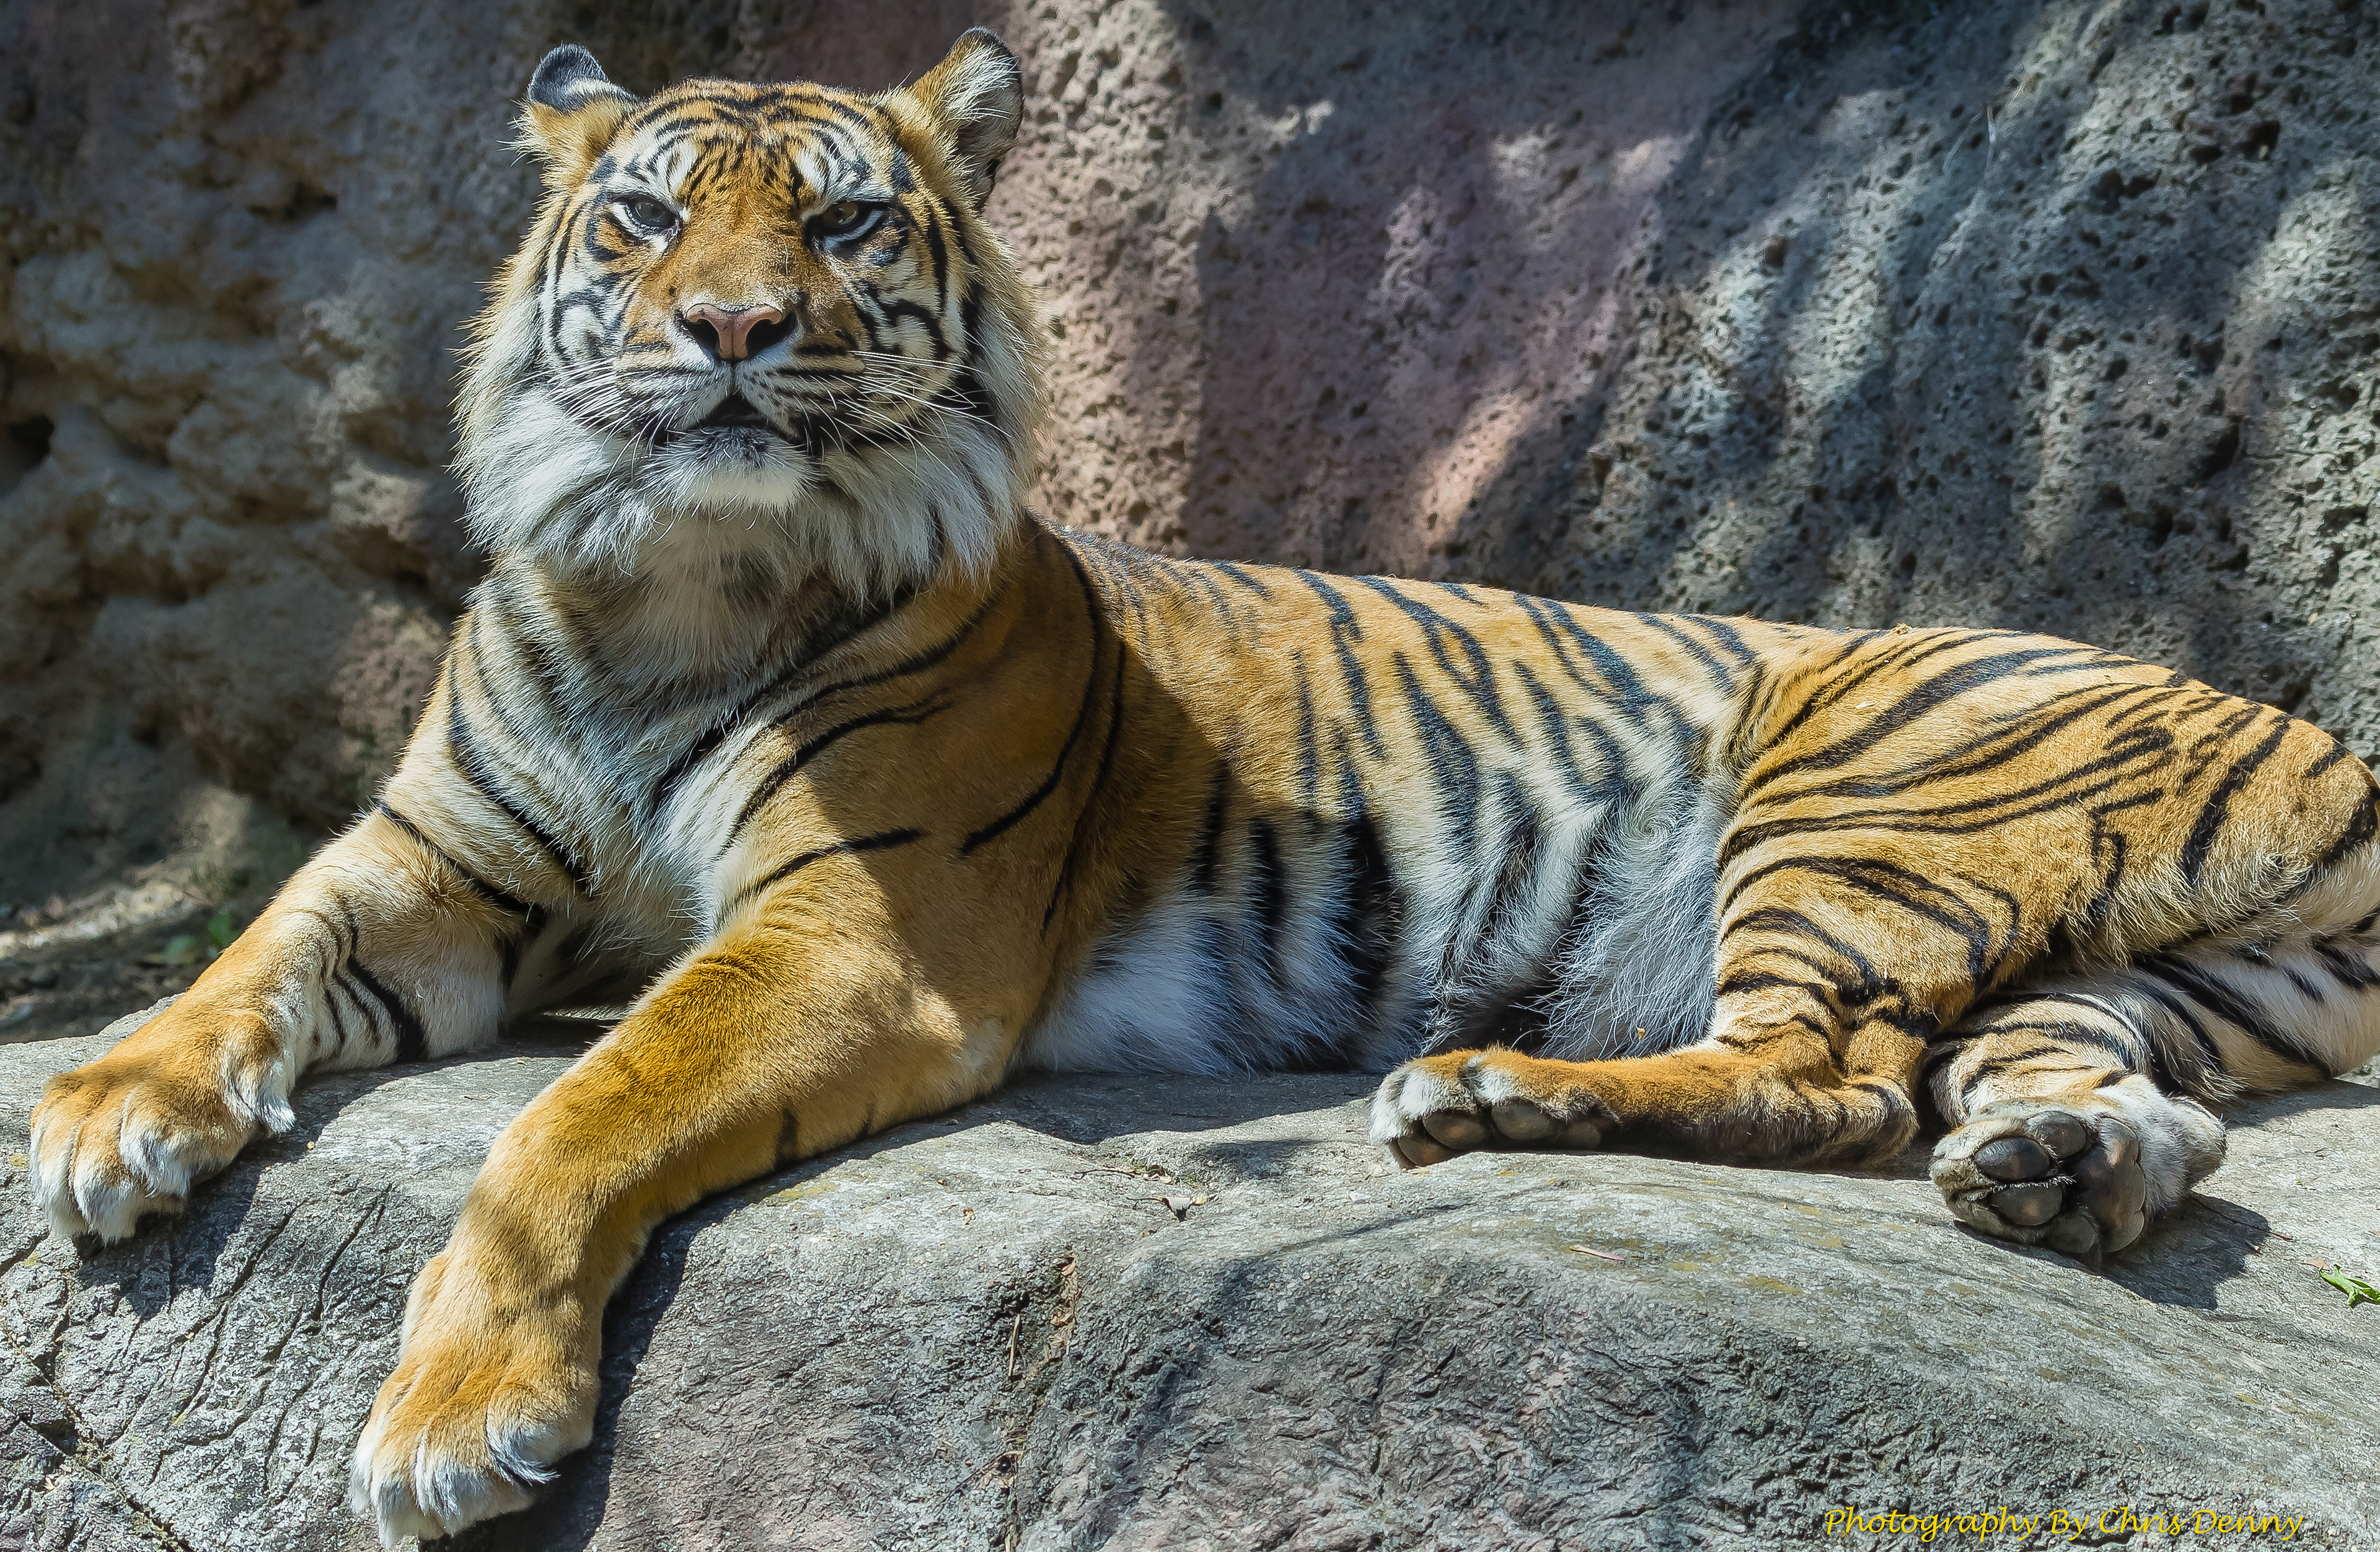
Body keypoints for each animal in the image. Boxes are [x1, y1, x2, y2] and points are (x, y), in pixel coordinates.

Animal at [26, 27, 2380, 1544]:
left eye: (842, 226)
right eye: (642, 220)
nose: (728, 331)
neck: (671, 579)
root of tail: (2318, 736)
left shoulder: (860, 932)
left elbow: (569, 1119)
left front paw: (451, 1422)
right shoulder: (436, 854)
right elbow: (253, 949)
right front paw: (111, 1110)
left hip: (1856, 780)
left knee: (1830, 1080)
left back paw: (1489, 1090)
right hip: (2138, 986)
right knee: (2076, 1101)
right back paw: (2052, 1175)